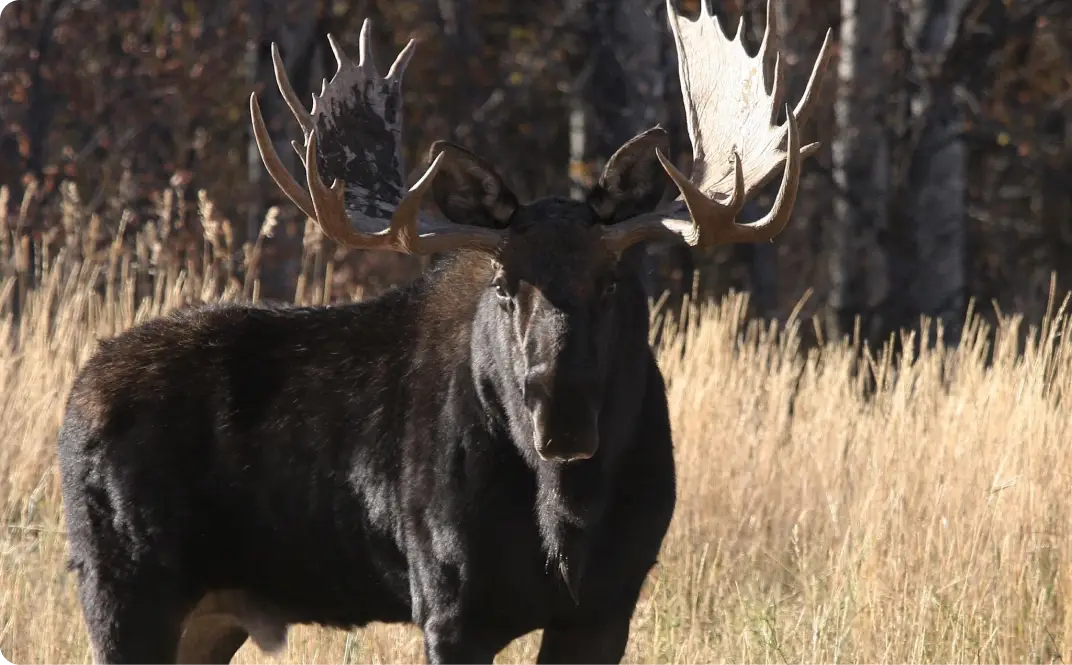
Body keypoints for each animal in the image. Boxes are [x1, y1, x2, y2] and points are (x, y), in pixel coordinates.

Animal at [57, 1, 831, 663]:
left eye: (613, 281)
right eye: (503, 284)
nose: (560, 411)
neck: (566, 515)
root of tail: (73, 403)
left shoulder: (608, 604)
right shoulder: (449, 604)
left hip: (211, 613)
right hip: (123, 586)